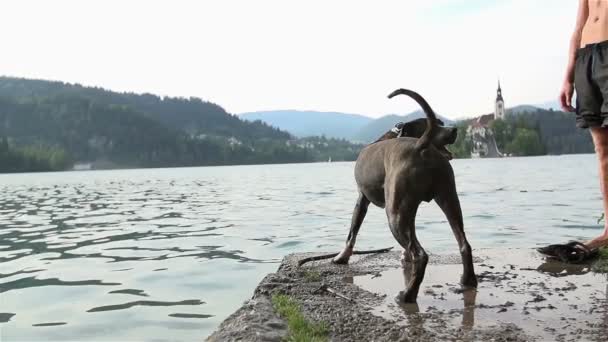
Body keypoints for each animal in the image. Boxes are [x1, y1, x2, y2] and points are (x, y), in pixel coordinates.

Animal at [330, 87, 478, 302]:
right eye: (437, 124)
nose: (454, 129)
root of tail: (420, 146)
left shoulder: (362, 200)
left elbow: (352, 231)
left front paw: (342, 256)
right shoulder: (409, 208)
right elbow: (411, 235)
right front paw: (405, 256)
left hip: (394, 214)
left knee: (421, 255)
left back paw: (407, 294)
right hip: (448, 200)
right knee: (464, 244)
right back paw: (468, 280)